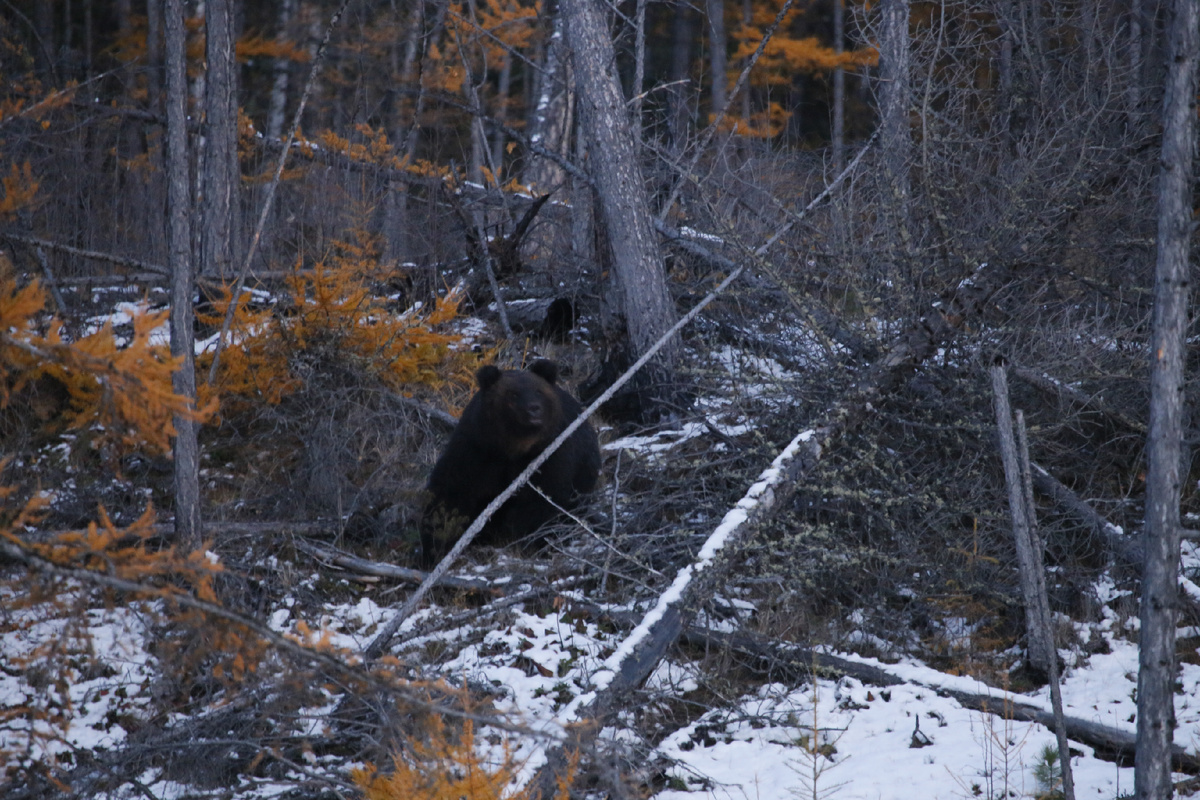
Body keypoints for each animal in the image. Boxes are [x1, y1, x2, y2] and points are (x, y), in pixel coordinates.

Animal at [420, 359, 600, 566]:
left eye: (538, 391)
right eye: (513, 394)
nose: (533, 409)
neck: (514, 448)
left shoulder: (553, 455)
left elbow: (546, 499)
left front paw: (535, 541)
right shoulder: (477, 450)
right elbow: (452, 493)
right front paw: (436, 547)